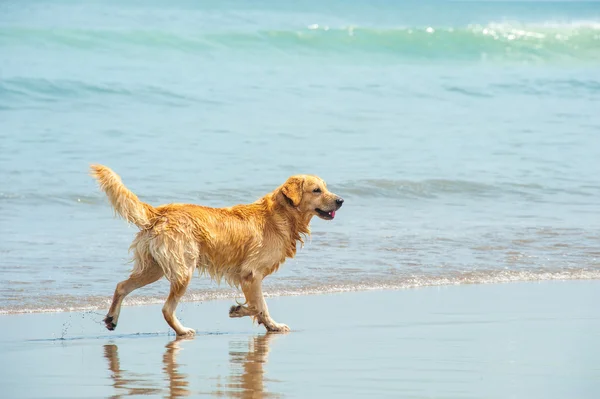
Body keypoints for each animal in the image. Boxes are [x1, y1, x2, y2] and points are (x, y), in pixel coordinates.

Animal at [88, 166, 342, 338]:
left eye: (326, 187)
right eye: (316, 190)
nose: (340, 200)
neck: (281, 215)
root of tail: (160, 212)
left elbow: (259, 306)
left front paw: (268, 325)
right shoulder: (250, 274)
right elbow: (260, 305)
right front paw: (243, 312)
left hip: (155, 268)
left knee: (122, 286)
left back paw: (111, 318)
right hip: (183, 269)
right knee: (166, 308)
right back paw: (183, 330)